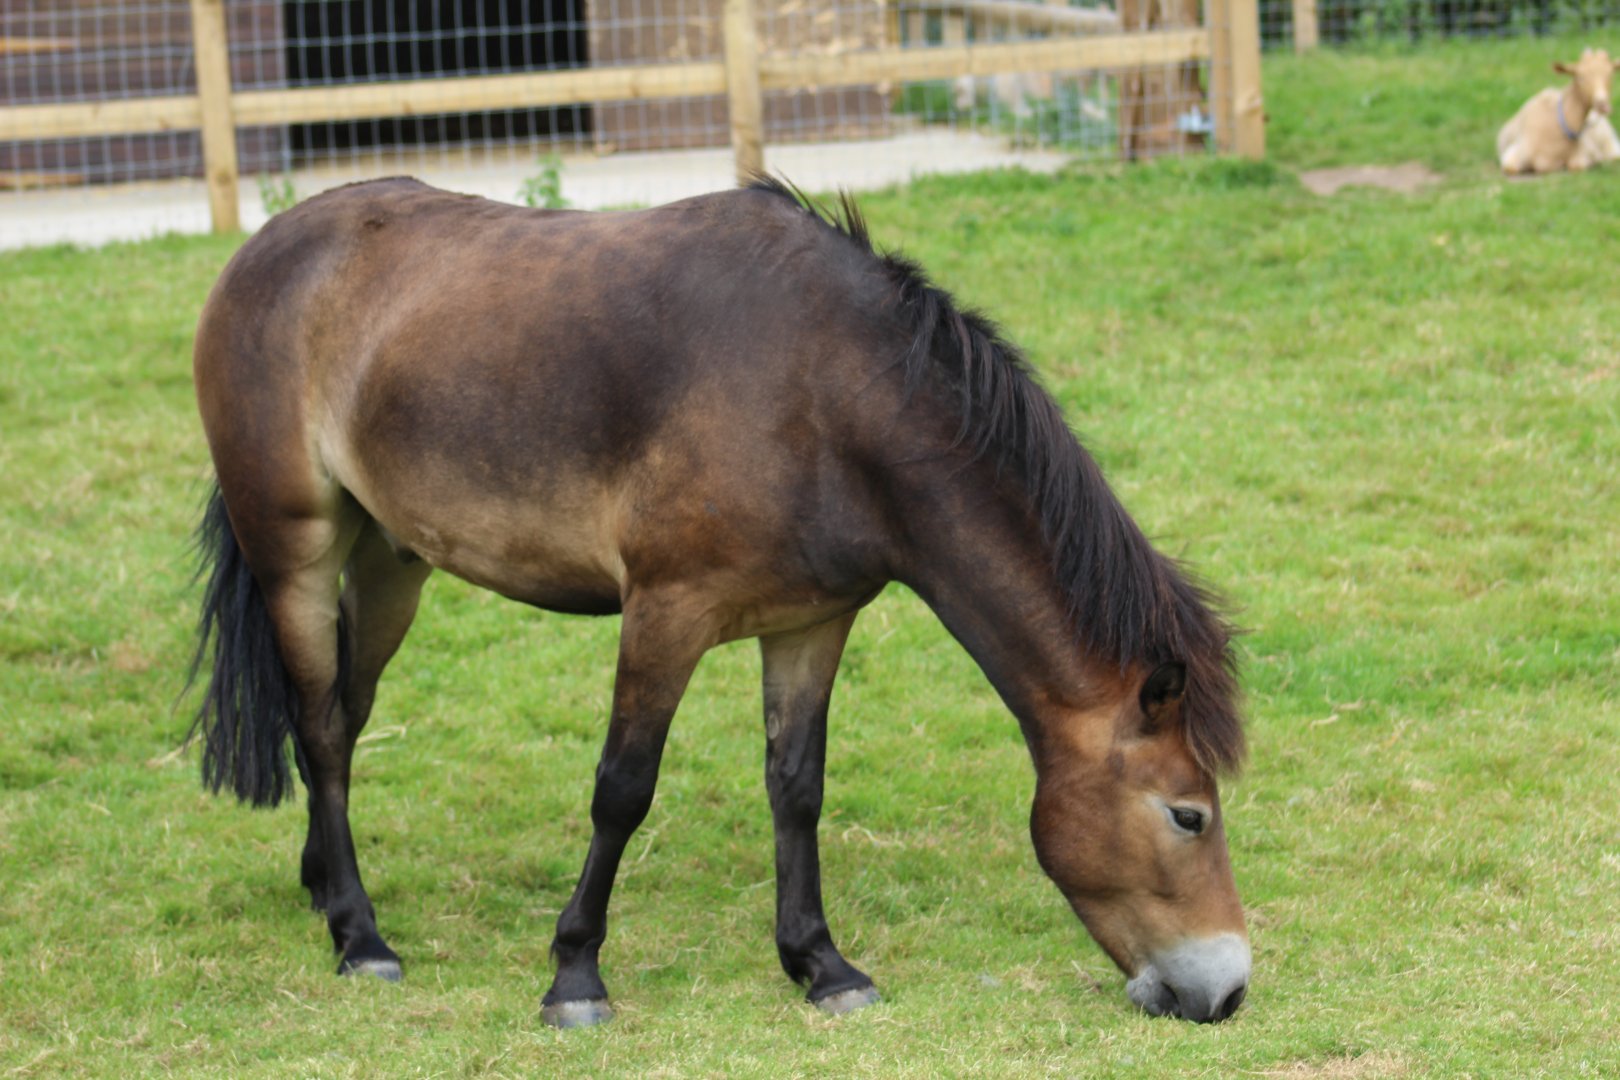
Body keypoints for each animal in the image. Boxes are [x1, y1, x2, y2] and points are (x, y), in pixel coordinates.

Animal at [186, 175, 1250, 1026]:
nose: (1228, 989)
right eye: (1188, 816)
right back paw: (361, 938)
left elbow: (797, 787)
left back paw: (324, 888)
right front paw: (575, 977)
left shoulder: (812, 623)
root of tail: (264, 252)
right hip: (296, 555)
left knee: (345, 716)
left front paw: (822, 965)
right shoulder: (668, 612)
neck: (830, 397)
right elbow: (623, 788)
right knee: (321, 727)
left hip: (390, 563)